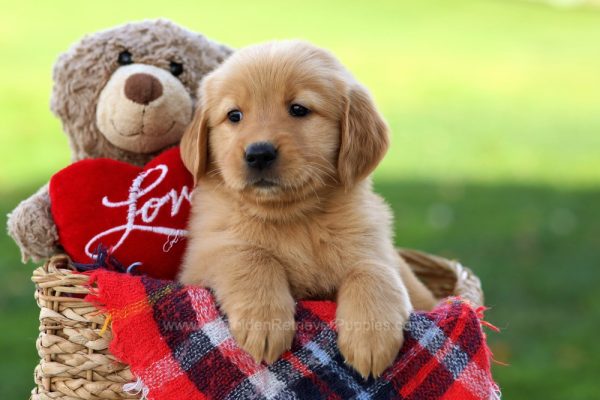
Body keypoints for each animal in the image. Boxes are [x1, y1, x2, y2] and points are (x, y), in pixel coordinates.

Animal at [178, 40, 436, 378]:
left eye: (299, 109)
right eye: (234, 115)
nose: (259, 153)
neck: (293, 218)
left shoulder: (374, 246)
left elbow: (372, 270)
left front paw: (370, 337)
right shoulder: (202, 258)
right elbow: (250, 255)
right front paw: (265, 322)